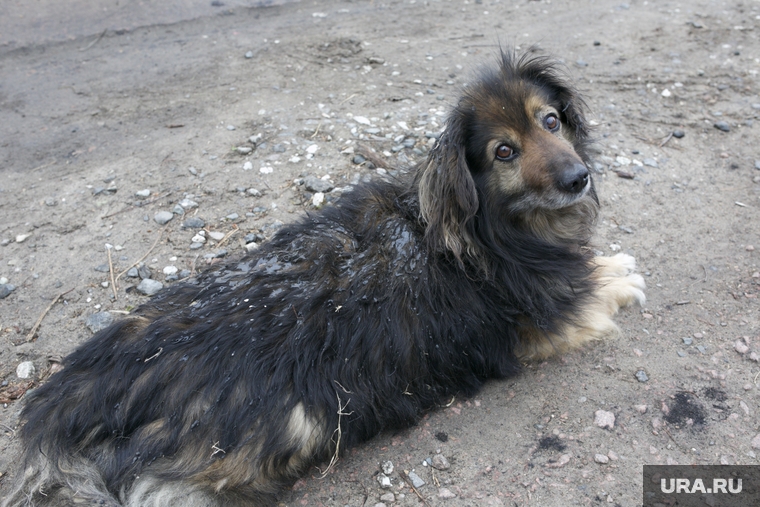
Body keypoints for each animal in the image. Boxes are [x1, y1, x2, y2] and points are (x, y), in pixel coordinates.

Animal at [4, 52, 648, 507]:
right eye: (504, 151)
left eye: (551, 121)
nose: (579, 178)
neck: (489, 228)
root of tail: (75, 390)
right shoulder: (550, 320)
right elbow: (595, 288)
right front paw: (618, 271)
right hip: (280, 433)